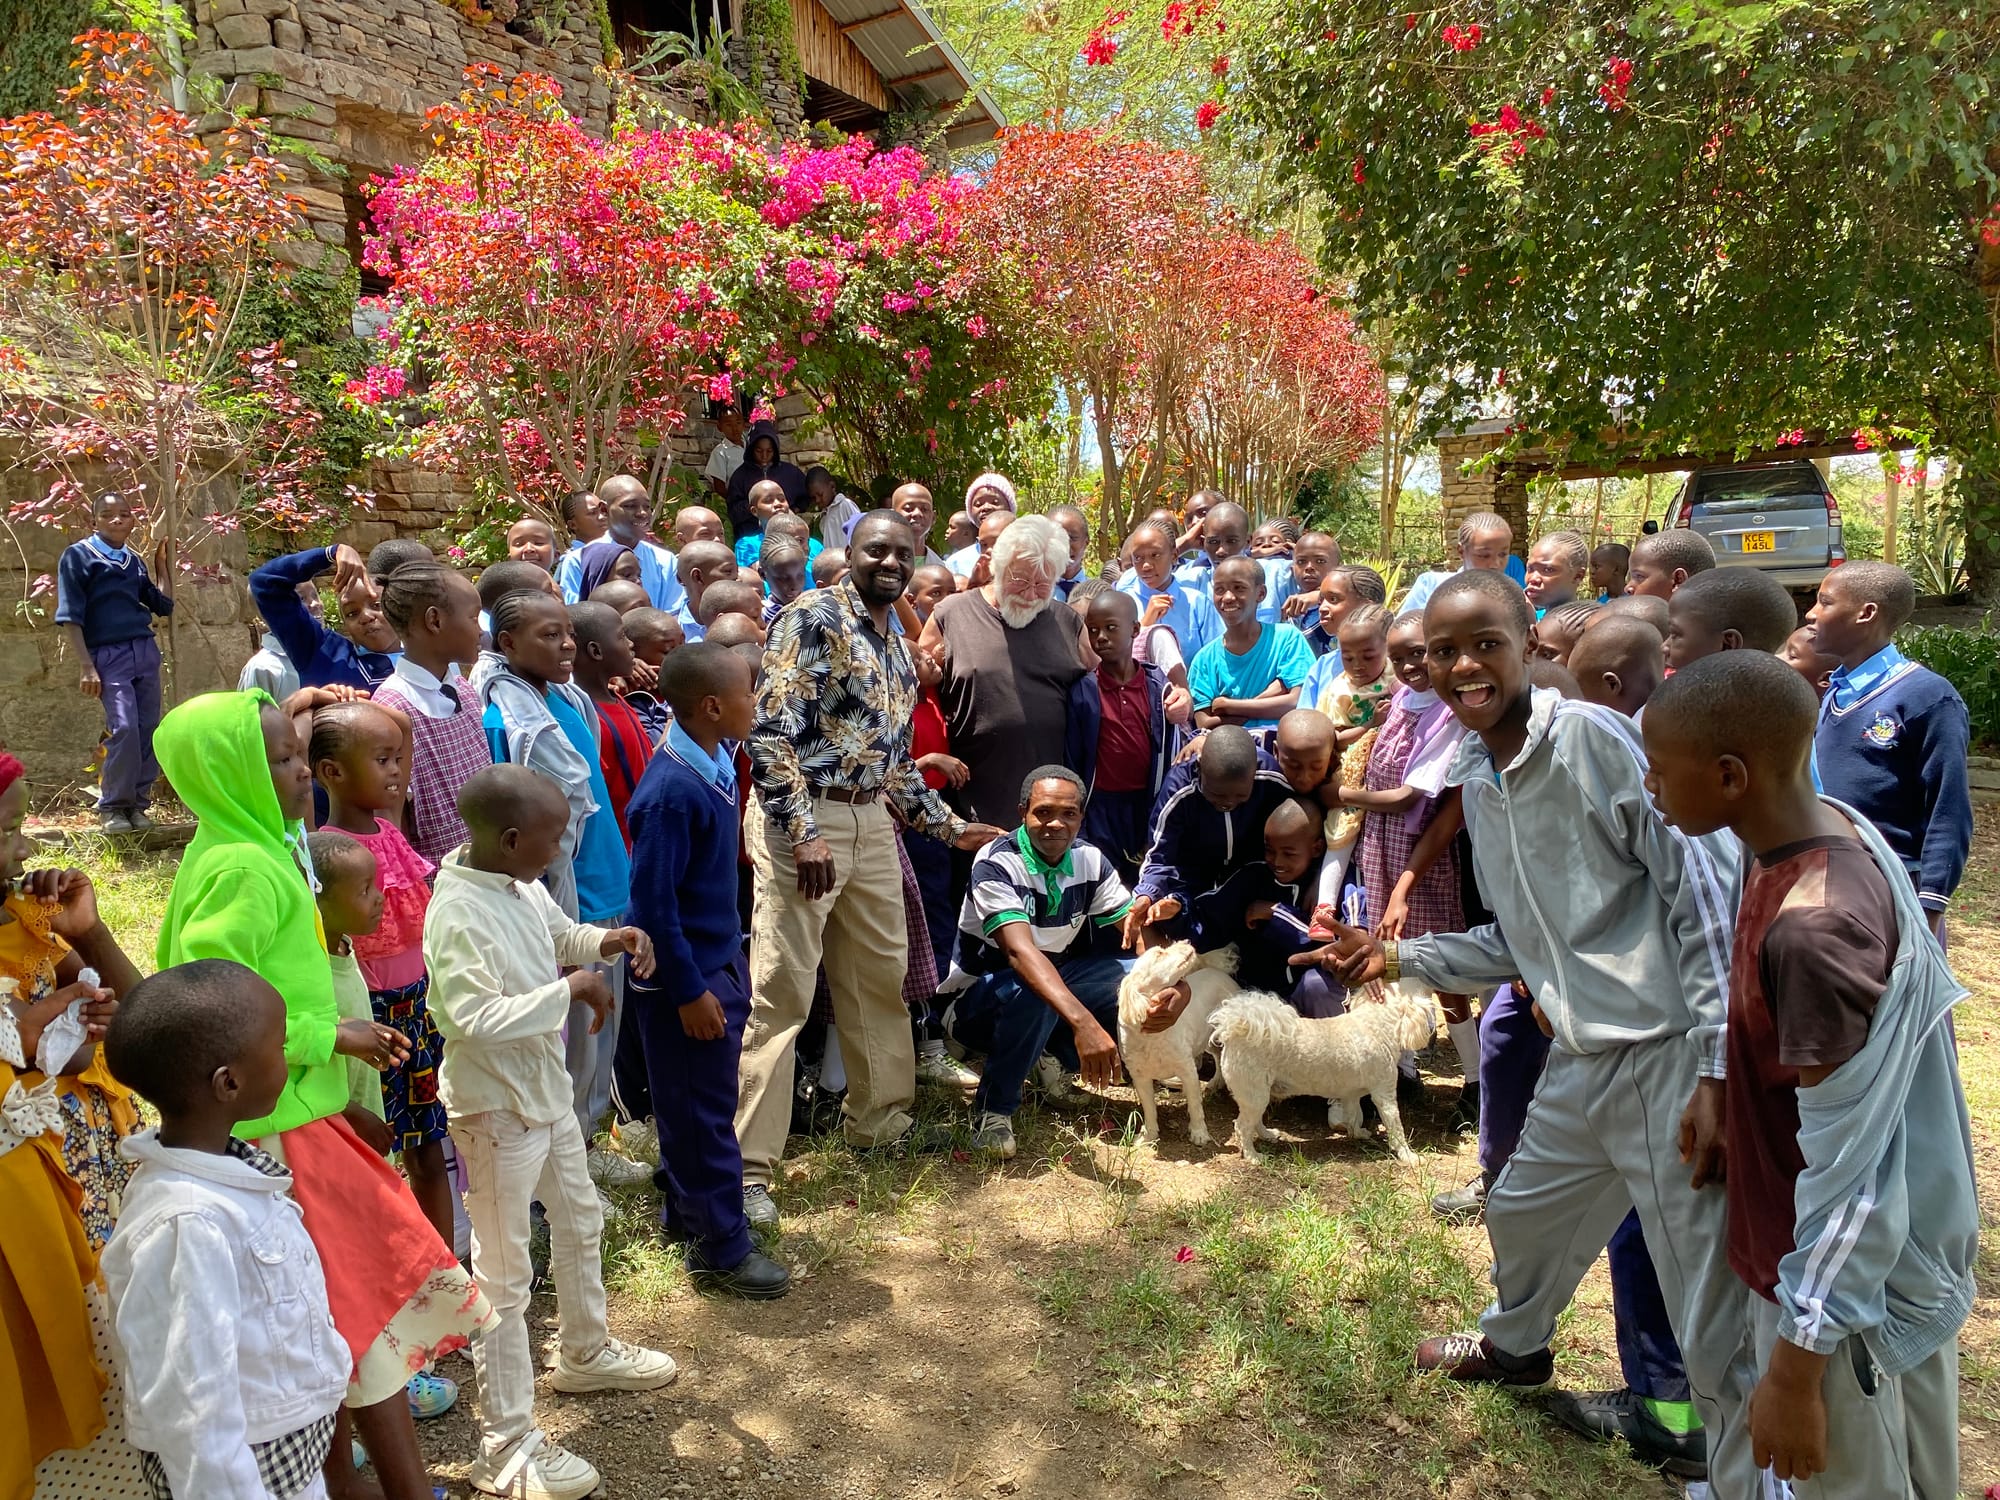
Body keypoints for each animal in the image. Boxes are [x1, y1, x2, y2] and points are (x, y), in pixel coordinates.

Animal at [1128, 944, 1232, 1144]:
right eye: (1159, 953)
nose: (1186, 941)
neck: (1154, 1037)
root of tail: (1216, 971)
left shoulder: (1188, 1071)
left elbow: (1196, 1106)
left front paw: (1199, 1134)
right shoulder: (1140, 1078)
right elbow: (1149, 1110)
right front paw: (1148, 1136)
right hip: (1206, 1039)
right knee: (1215, 1055)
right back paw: (1215, 1081)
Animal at [1200, 992, 1440, 1168]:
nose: (1431, 1029)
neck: (1374, 1025)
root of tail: (1236, 1026)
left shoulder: (1351, 1095)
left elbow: (1354, 1115)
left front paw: (1357, 1133)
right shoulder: (1385, 1094)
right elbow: (1396, 1127)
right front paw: (1408, 1156)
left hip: (1258, 1095)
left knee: (1254, 1122)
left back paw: (1268, 1135)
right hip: (1255, 1094)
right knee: (1242, 1126)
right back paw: (1253, 1156)